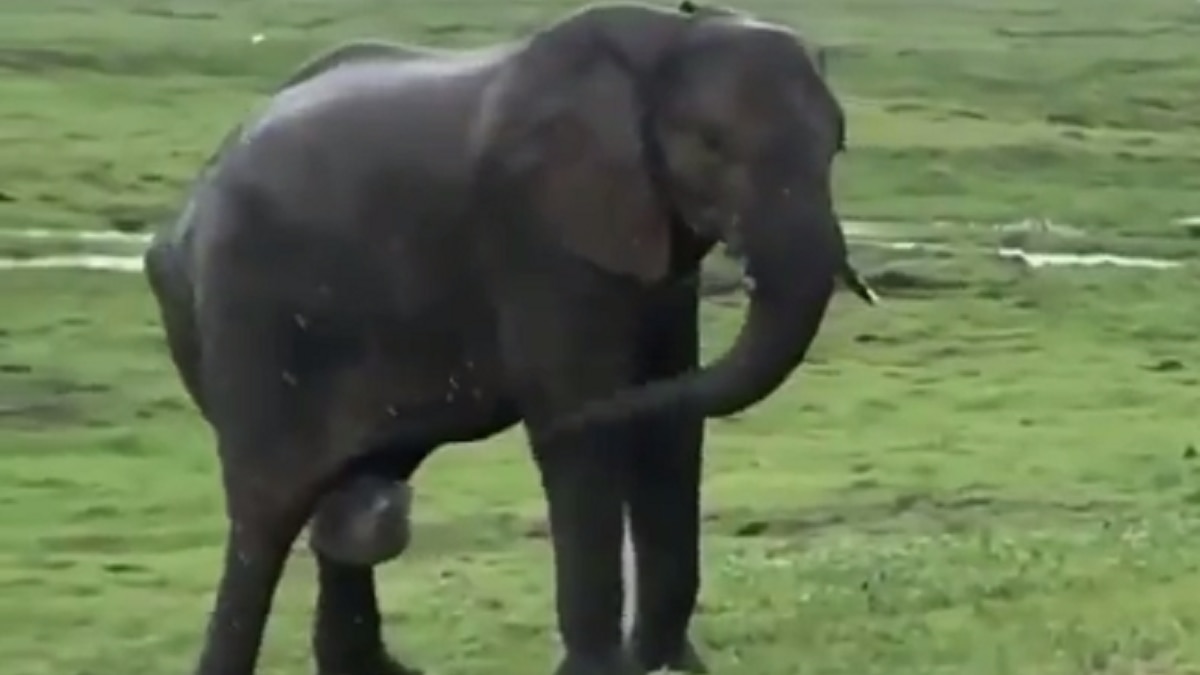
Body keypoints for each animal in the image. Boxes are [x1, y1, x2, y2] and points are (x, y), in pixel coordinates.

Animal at [142, 2, 876, 674]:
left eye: (839, 145)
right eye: (713, 144)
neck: (669, 35)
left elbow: (672, 424)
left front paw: (669, 666)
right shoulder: (537, 234)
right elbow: (578, 424)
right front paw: (601, 671)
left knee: (349, 504)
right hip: (247, 320)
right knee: (268, 513)